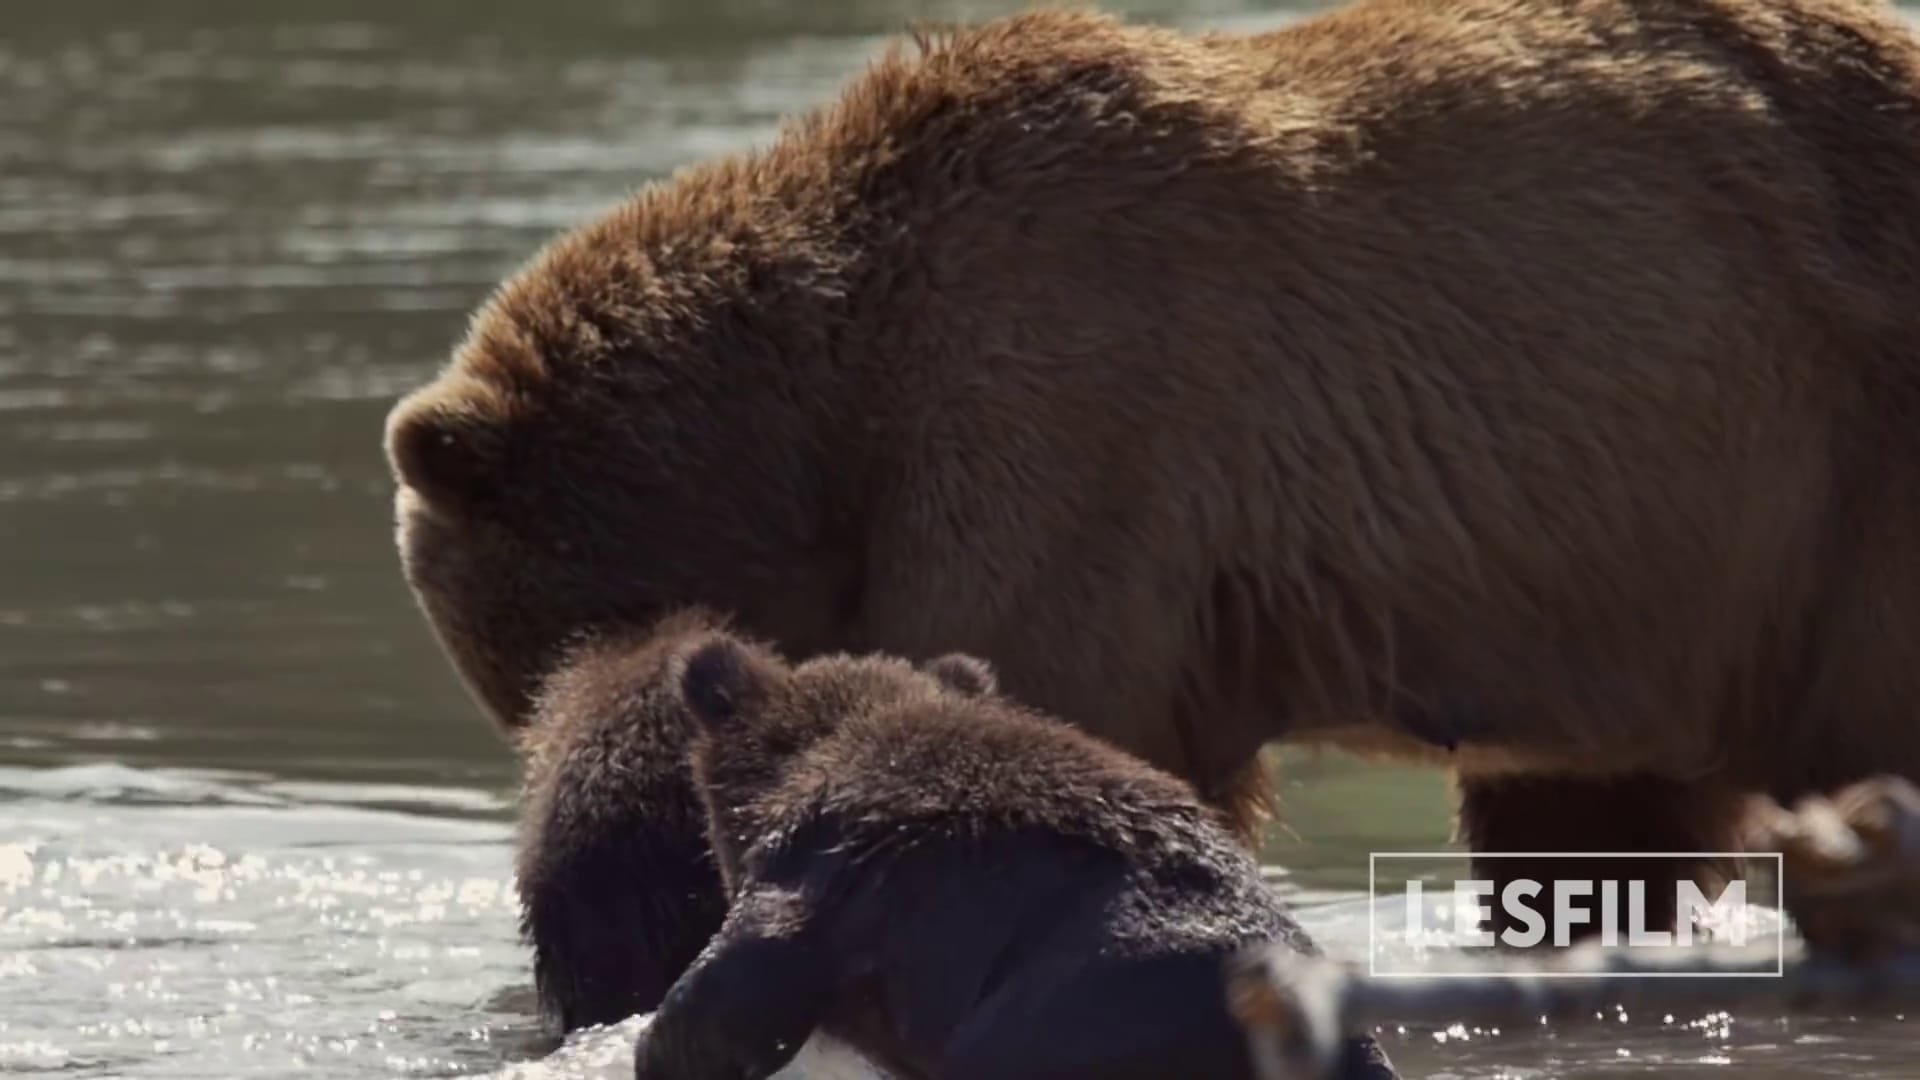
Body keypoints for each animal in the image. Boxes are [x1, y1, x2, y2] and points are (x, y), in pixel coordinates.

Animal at [385, 0, 1920, 938]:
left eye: (522, 662)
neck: (820, 416)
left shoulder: (1061, 425)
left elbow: (1039, 705)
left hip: (1833, 466)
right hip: (1661, 566)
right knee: (1590, 823)